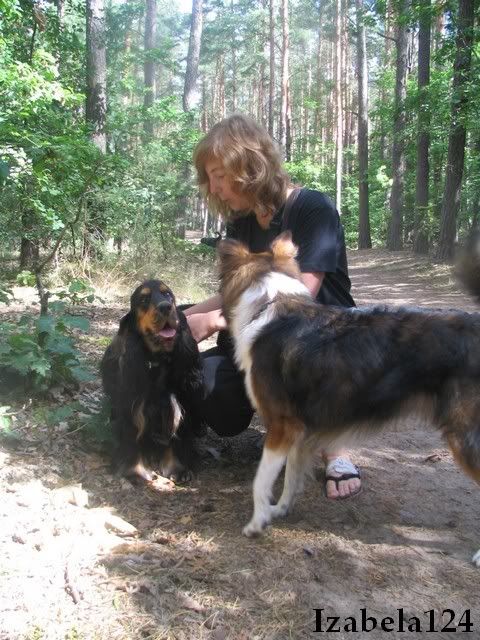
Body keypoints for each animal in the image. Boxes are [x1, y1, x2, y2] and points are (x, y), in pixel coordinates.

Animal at [100, 279, 204, 484]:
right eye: (144, 299)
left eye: (168, 295)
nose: (166, 307)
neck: (157, 359)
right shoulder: (131, 405)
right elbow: (130, 437)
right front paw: (134, 472)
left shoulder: (177, 402)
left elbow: (177, 437)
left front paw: (178, 469)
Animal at [217, 231, 480, 563]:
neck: (270, 303)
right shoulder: (300, 430)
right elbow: (291, 477)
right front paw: (281, 510)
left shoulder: (281, 425)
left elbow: (261, 480)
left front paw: (257, 523)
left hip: (465, 437)